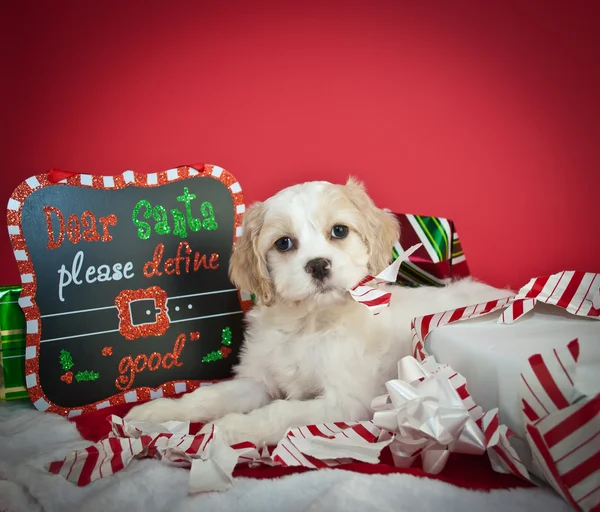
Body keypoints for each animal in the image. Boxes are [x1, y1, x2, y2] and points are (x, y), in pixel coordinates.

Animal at [125, 178, 510, 446]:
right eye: (284, 243)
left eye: (339, 231)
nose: (318, 265)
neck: (308, 323)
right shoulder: (257, 381)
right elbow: (208, 395)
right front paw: (158, 411)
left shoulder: (343, 402)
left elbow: (280, 412)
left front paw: (229, 428)